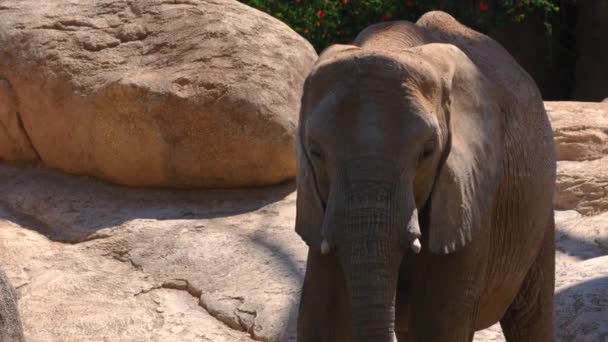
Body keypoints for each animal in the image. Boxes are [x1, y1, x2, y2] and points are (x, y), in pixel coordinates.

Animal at [294, 10, 556, 342]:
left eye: (428, 151)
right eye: (315, 152)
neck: (388, 45)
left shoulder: (469, 192)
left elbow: (440, 325)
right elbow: (320, 319)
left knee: (531, 313)